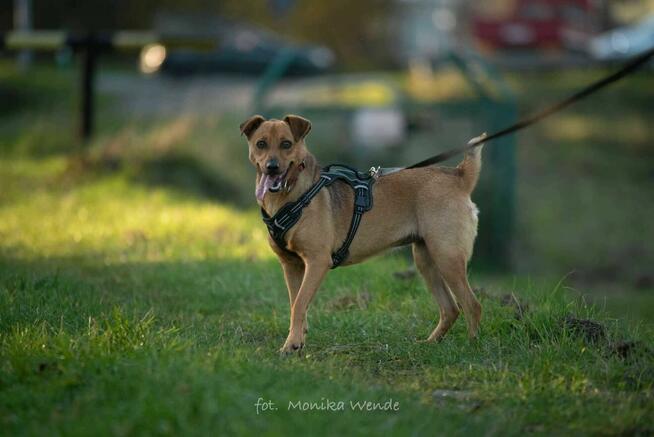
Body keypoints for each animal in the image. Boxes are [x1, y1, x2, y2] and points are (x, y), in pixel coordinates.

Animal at [241, 113, 482, 354]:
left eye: (286, 144)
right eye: (261, 144)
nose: (272, 167)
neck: (293, 195)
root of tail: (458, 175)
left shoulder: (317, 261)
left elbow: (299, 303)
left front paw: (291, 344)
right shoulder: (291, 265)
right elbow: (295, 304)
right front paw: (297, 340)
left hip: (447, 257)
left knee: (472, 304)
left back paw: (471, 347)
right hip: (426, 259)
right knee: (451, 308)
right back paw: (430, 343)